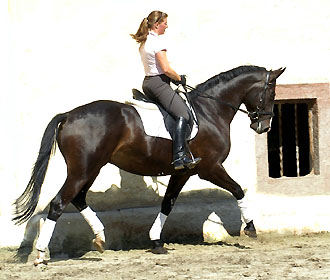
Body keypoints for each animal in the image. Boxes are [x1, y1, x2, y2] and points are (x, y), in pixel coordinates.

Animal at [13, 65, 284, 264]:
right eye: (271, 94)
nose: (264, 126)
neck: (211, 110)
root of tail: (69, 115)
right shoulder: (210, 168)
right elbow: (238, 189)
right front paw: (251, 227)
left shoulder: (183, 172)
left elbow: (168, 203)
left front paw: (155, 242)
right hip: (83, 169)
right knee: (59, 202)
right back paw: (41, 255)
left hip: (92, 168)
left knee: (78, 198)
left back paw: (100, 238)